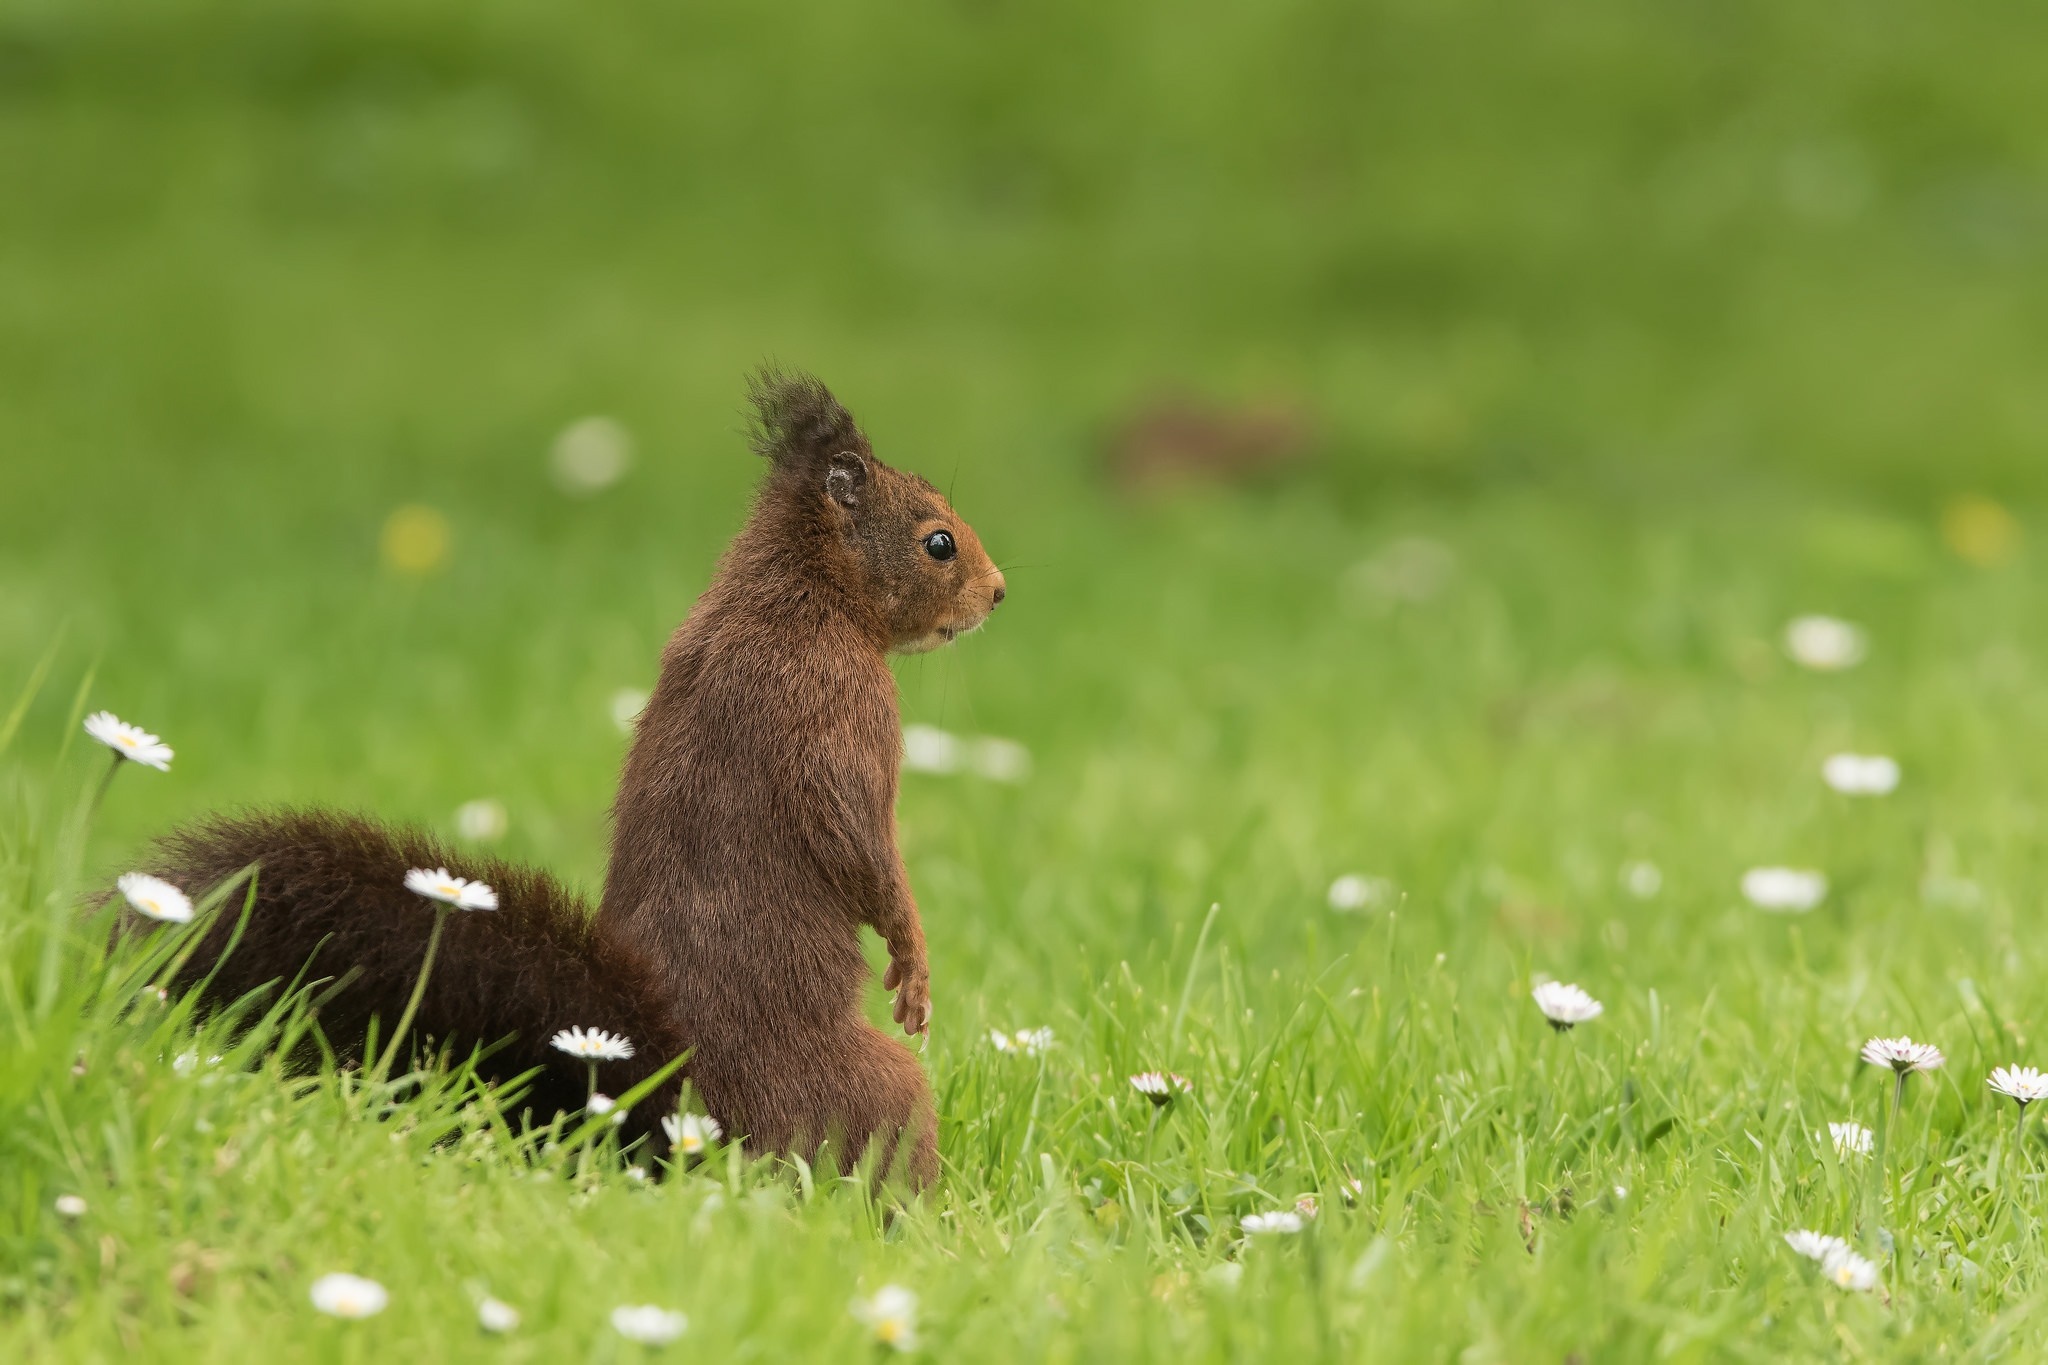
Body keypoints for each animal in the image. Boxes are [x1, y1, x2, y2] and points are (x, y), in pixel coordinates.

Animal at [138, 374, 1007, 1186]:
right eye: (938, 542)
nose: (998, 592)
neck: (800, 596)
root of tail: (675, 1102)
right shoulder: (845, 713)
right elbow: (863, 845)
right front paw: (914, 963)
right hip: (875, 1088)